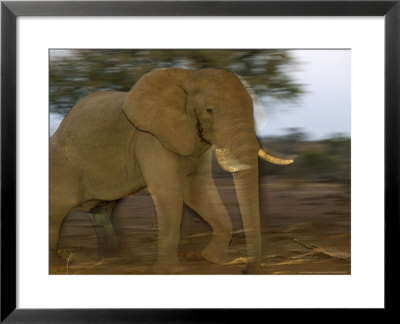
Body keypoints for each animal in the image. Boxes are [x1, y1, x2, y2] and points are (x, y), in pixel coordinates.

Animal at [50, 67, 294, 274]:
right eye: (209, 110)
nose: (246, 270)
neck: (189, 77)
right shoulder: (150, 137)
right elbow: (170, 192)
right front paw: (170, 271)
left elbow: (197, 190)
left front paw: (216, 260)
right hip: (63, 163)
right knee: (57, 210)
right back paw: (58, 266)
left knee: (101, 210)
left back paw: (116, 261)